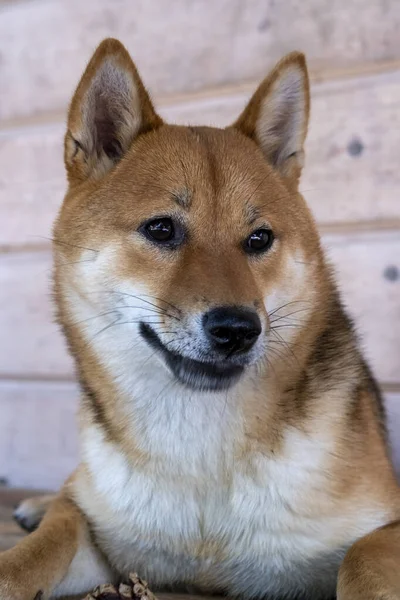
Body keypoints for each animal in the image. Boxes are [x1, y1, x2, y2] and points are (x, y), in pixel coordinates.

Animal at [1, 38, 398, 600]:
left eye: (259, 239)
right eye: (161, 229)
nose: (237, 329)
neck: (203, 460)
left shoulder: (383, 528)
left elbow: (361, 557)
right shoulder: (99, 537)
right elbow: (35, 552)